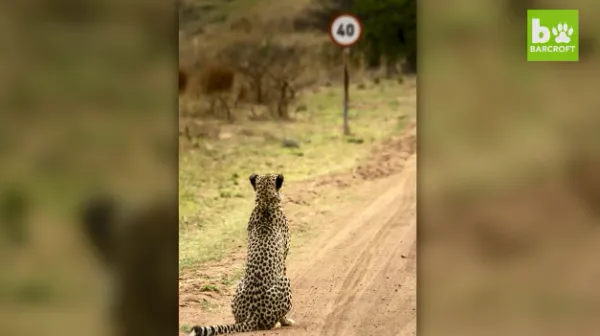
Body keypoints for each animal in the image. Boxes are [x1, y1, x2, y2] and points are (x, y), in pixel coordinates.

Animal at [190, 173, 296, 336]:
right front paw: (286, 321)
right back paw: (281, 322)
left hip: (240, 284)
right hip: (285, 281)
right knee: (269, 323)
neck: (265, 203)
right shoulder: (284, 259)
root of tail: (252, 314)